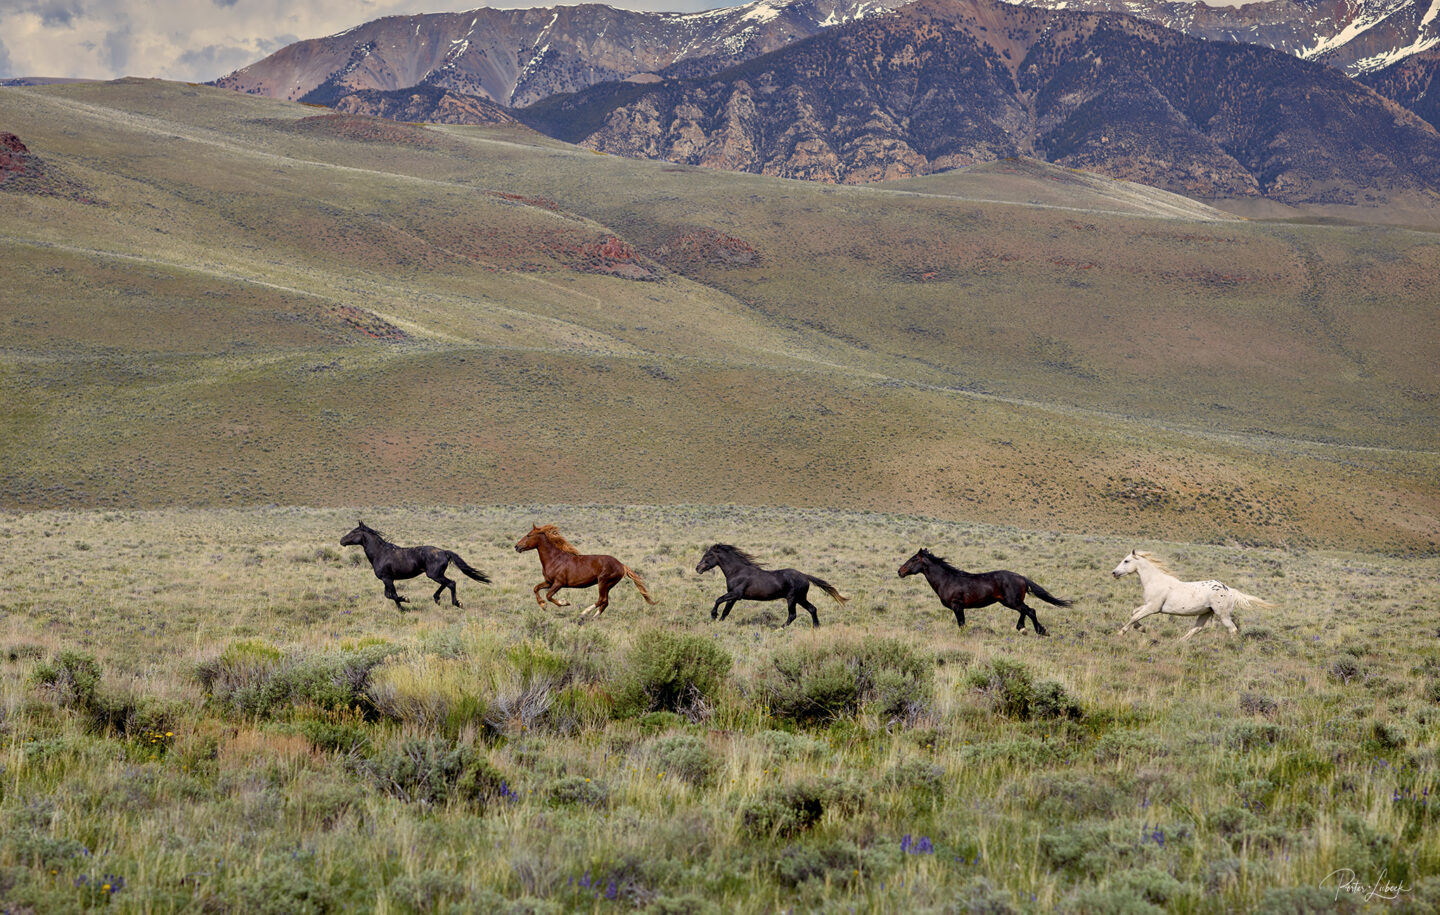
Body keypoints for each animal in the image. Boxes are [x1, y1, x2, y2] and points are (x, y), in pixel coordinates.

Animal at [340, 522, 490, 612]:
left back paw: (457, 603)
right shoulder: (387, 579)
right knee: (446, 583)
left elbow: (394, 595)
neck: (380, 553)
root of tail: (444, 552)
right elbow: (388, 595)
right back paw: (437, 599)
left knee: (451, 583)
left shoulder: (387, 579)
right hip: (436, 574)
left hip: (434, 574)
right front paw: (403, 603)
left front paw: (404, 605)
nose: (341, 540)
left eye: (353, 532)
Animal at [514, 524, 655, 620]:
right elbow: (536, 588)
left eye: (528, 535)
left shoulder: (559, 583)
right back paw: (594, 617)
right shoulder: (549, 582)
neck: (554, 559)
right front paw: (543, 605)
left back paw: (584, 613)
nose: (516, 546)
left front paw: (565, 602)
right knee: (605, 602)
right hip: (608, 585)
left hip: (603, 582)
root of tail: (621, 565)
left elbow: (549, 595)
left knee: (602, 600)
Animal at [696, 543, 848, 628]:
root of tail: (805, 576)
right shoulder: (733, 597)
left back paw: (778, 628)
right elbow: (726, 611)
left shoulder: (736, 594)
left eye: (707, 555)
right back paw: (816, 627)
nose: (698, 568)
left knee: (792, 615)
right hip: (800, 598)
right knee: (812, 609)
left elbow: (718, 600)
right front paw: (718, 622)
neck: (737, 571)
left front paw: (713, 616)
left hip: (792, 598)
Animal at [898, 548, 1072, 635]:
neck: (947, 579)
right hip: (1009, 602)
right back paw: (1021, 628)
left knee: (1031, 610)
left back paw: (1040, 631)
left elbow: (961, 625)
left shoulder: (957, 606)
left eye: (914, 559)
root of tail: (1022, 577)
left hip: (1012, 601)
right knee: (1025, 610)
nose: (900, 571)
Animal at [1111, 549, 1273, 641]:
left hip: (1222, 615)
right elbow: (1134, 613)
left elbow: (1134, 616)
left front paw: (1121, 633)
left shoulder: (1153, 607)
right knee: (1197, 628)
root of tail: (1229, 590)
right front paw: (1141, 629)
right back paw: (1180, 641)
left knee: (1232, 629)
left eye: (1126, 560)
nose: (1114, 573)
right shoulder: (1148, 606)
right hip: (1206, 613)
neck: (1155, 580)